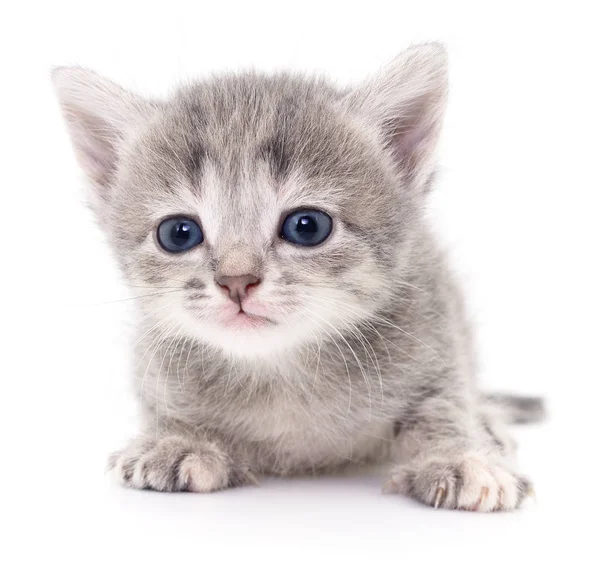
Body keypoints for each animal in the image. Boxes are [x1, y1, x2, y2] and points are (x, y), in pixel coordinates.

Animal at [54, 43, 544, 510]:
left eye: (307, 226)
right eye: (178, 233)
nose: (236, 281)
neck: (280, 369)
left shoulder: (435, 334)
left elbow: (444, 404)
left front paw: (461, 457)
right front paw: (178, 440)